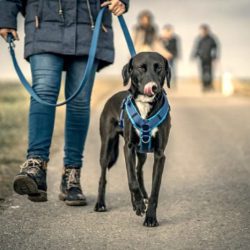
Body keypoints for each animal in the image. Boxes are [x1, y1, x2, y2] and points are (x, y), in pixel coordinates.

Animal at [94, 51, 171, 227]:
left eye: (159, 68)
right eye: (141, 68)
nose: (153, 86)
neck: (145, 104)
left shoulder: (159, 154)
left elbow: (154, 188)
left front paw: (150, 217)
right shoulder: (128, 148)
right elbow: (131, 181)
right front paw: (138, 205)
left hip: (141, 153)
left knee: (138, 170)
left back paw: (141, 198)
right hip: (106, 147)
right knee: (104, 176)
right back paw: (101, 204)